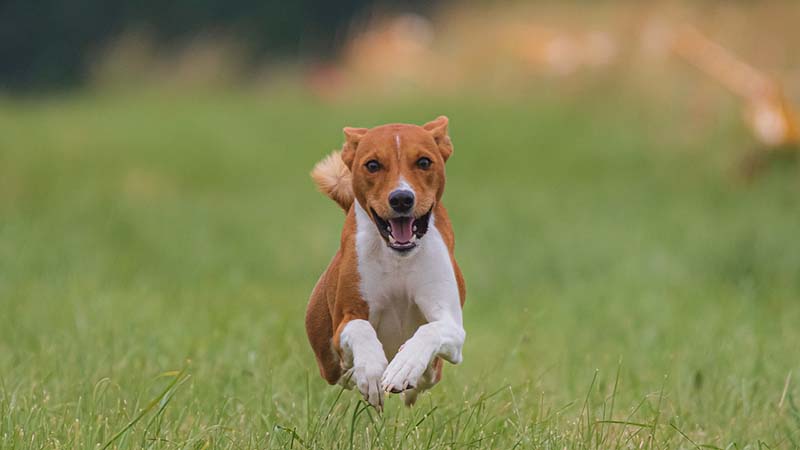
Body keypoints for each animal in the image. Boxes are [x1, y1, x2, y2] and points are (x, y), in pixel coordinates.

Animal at [306, 117, 468, 412]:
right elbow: (360, 327)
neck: (398, 258)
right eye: (372, 165)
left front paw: (405, 366)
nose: (401, 198)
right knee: (340, 371)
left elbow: (431, 329)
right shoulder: (345, 320)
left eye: (424, 162)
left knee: (429, 373)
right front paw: (370, 371)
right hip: (327, 356)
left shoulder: (451, 323)